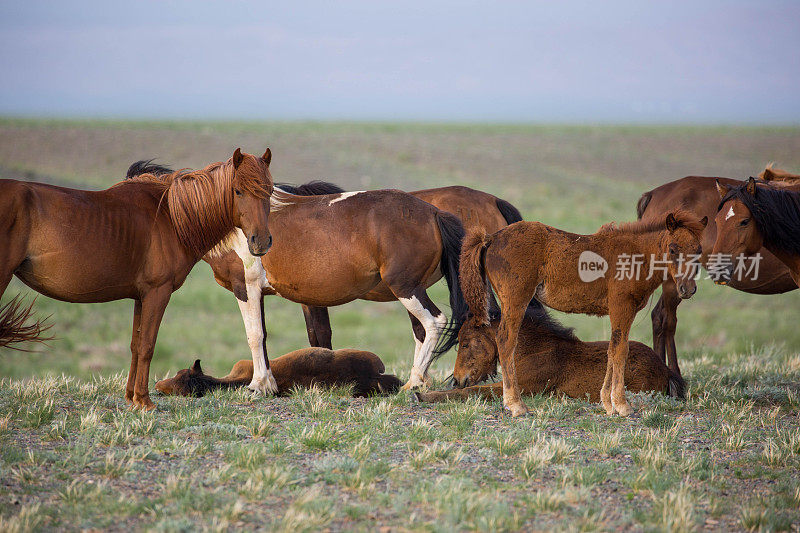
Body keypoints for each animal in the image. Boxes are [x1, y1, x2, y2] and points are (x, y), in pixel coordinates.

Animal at [0, 149, 274, 408]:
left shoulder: (140, 296)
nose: (260, 242)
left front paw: (132, 398)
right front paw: (144, 401)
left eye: (270, 191)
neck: (170, 217)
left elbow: (135, 345)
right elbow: (147, 346)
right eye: (238, 191)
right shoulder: (157, 292)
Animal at [416, 304, 684, 404]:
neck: (535, 350)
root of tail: (665, 369)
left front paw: (424, 395)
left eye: (464, 343)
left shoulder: (522, 387)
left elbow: (474, 392)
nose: (456, 378)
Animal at [456, 212, 708, 416]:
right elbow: (620, 351)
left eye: (699, 251)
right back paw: (516, 405)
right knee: (505, 341)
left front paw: (608, 403)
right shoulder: (622, 307)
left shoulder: (619, 311)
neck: (635, 255)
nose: (687, 289)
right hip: (516, 300)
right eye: (673, 249)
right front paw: (621, 405)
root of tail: (491, 238)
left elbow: (612, 350)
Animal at [636, 166, 800, 374]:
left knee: (659, 317)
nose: (718, 267)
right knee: (666, 319)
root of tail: (653, 194)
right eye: (717, 221)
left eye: (745, 221)